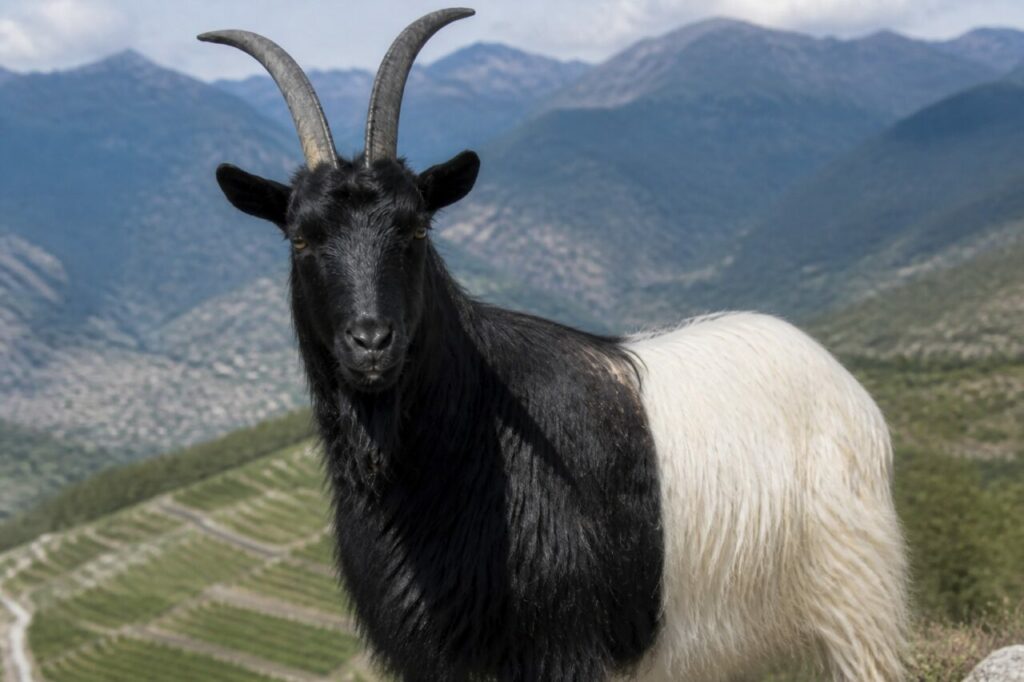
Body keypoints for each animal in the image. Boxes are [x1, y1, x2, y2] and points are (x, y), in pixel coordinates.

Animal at [200, 9, 908, 681]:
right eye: (300, 236)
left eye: (418, 228)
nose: (371, 342)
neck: (468, 438)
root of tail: (842, 382)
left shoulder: (563, 647)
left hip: (856, 601)